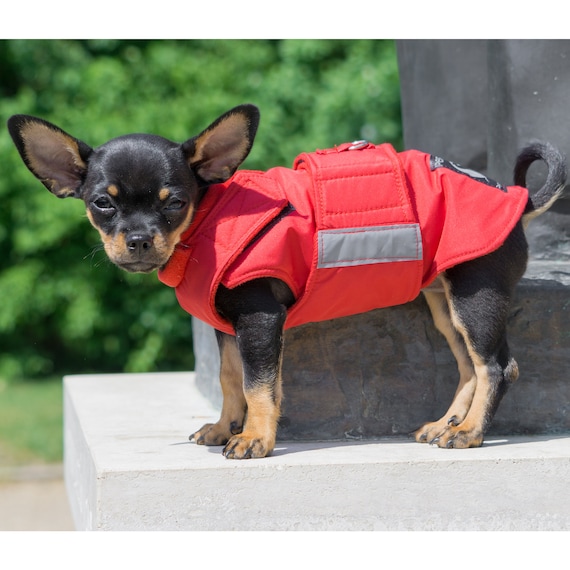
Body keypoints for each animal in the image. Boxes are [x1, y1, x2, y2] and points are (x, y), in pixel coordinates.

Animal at [6, 103, 564, 458]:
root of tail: (517, 198)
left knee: (497, 366)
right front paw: (224, 427)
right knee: (470, 366)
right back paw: (449, 424)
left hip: (476, 298)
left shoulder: (259, 320)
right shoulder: (228, 328)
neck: (208, 225)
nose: (140, 240)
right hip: (444, 305)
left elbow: (260, 386)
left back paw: (470, 433)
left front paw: (254, 438)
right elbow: (231, 380)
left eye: (174, 202)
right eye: (103, 203)